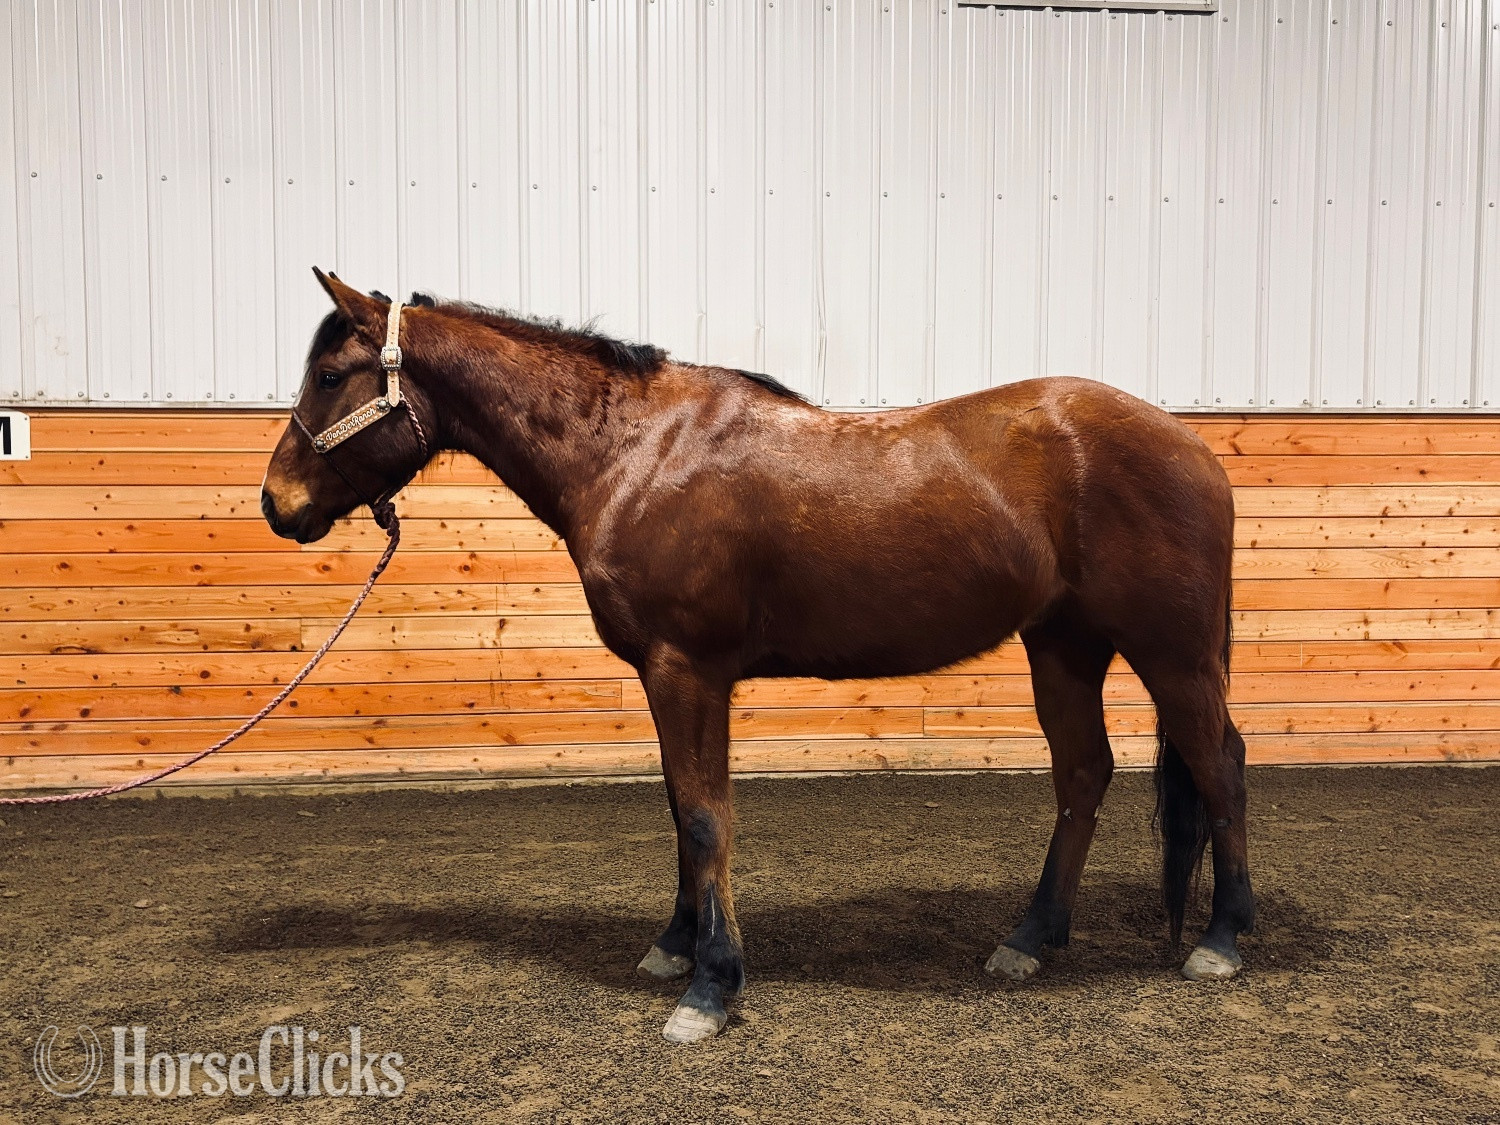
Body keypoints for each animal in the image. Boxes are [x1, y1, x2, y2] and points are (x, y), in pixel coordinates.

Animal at [262, 269, 1255, 1044]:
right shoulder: (668, 677)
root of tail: (1192, 446)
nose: (276, 503)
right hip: (1064, 643)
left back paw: (1223, 939)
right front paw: (675, 946)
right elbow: (678, 809)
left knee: (1219, 763)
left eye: (329, 373)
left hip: (1172, 653)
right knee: (1084, 772)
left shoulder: (686, 669)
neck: (632, 452)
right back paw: (1030, 938)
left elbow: (705, 817)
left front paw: (711, 985)